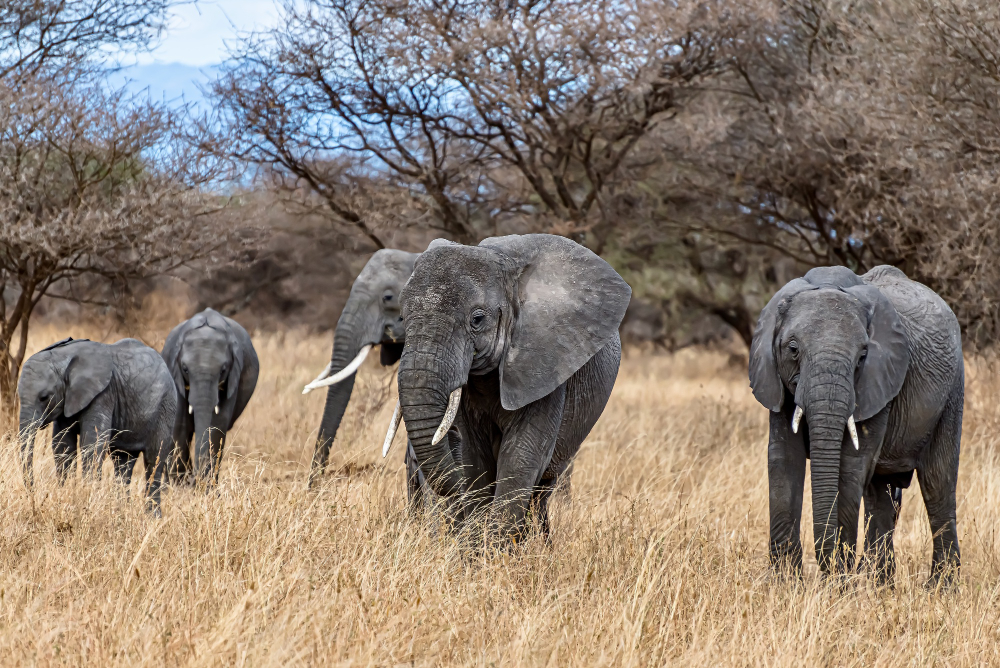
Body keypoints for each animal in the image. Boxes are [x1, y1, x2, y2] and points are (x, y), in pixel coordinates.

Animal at [16, 336, 177, 516]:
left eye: (44, 397)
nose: (34, 496)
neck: (63, 356)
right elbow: (63, 446)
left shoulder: (103, 394)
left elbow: (92, 444)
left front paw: (86, 502)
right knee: (122, 462)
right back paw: (120, 512)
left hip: (165, 407)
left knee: (153, 459)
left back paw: (152, 517)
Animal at [162, 308, 260, 486]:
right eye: (185, 369)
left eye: (223, 370)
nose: (192, 480)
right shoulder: (174, 371)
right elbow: (180, 422)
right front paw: (178, 485)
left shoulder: (233, 377)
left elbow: (217, 424)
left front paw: (204, 486)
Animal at [384, 232, 632, 540]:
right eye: (402, 316)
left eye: (477, 319)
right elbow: (474, 458)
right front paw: (476, 548)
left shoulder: (544, 364)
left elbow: (521, 456)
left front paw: (496, 550)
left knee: (541, 490)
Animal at [752, 266, 960, 584]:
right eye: (793, 349)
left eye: (863, 356)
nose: (826, 572)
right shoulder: (777, 382)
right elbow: (783, 459)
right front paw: (784, 584)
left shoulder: (879, 380)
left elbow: (851, 465)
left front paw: (838, 583)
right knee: (881, 494)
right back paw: (879, 586)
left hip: (952, 392)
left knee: (938, 483)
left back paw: (940, 588)